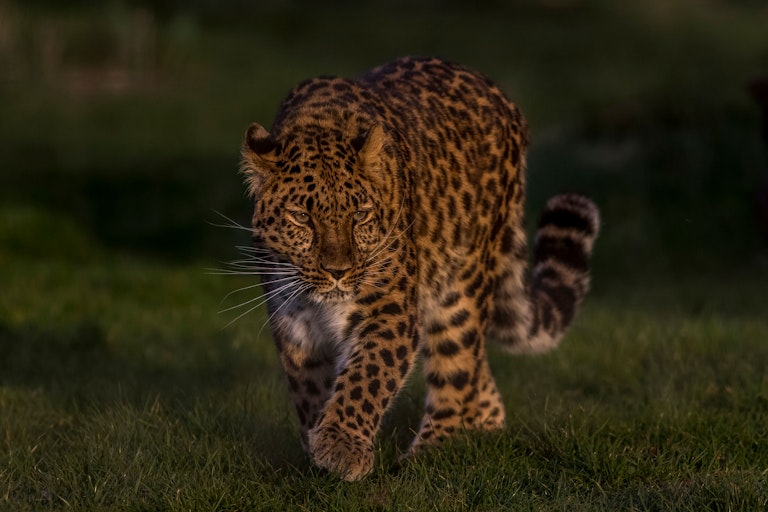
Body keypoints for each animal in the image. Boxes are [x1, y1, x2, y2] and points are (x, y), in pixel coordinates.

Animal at [240, 56, 600, 480]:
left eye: (360, 216)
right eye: (301, 218)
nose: (338, 271)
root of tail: (503, 98)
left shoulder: (389, 309)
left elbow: (366, 376)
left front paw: (341, 446)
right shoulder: (294, 323)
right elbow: (309, 390)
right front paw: (317, 446)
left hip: (460, 291)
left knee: (459, 371)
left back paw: (431, 455)